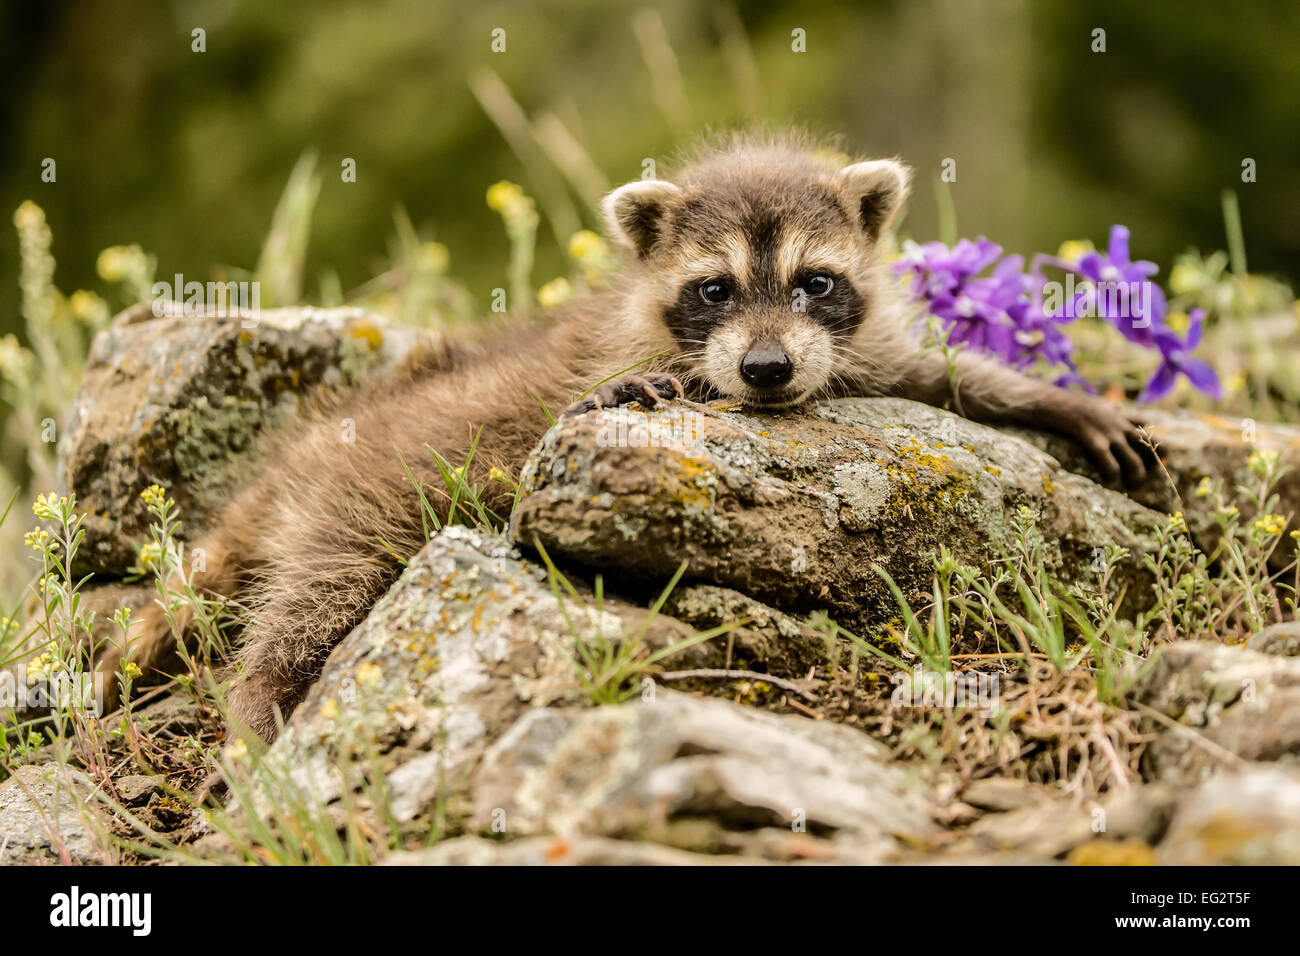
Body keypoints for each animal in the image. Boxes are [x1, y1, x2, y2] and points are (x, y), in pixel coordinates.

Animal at [106, 132, 1154, 738]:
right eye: (714, 289)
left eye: (814, 281)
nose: (766, 371)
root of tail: (285, 468)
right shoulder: (604, 352)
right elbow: (574, 401)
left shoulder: (852, 348)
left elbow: (930, 373)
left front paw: (1053, 398)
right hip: (352, 500)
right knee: (313, 592)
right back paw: (258, 695)